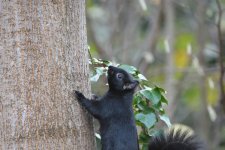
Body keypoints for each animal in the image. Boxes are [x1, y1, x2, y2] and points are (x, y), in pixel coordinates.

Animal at [74, 65, 202, 150]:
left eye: (119, 76)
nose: (109, 67)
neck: (120, 96)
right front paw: (94, 95)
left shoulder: (109, 107)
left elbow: (94, 109)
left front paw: (80, 96)